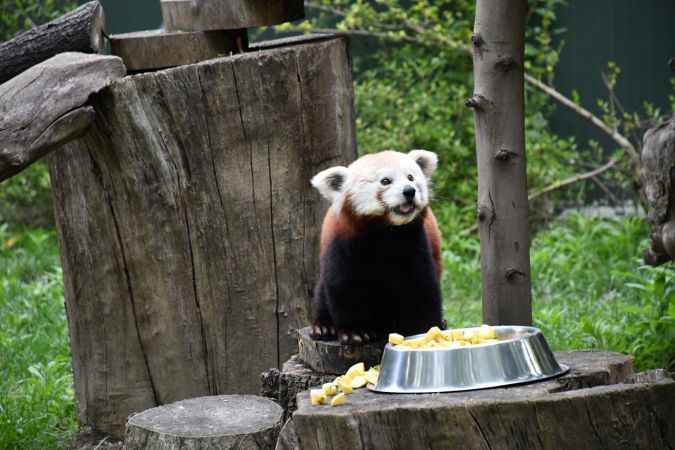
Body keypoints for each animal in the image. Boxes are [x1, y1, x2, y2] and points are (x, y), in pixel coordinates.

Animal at [310, 149, 444, 344]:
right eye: (385, 181)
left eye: (410, 177)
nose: (409, 191)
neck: (384, 233)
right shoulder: (343, 245)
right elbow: (343, 286)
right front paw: (355, 332)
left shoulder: (415, 244)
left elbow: (422, 286)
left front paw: (426, 328)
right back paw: (323, 327)